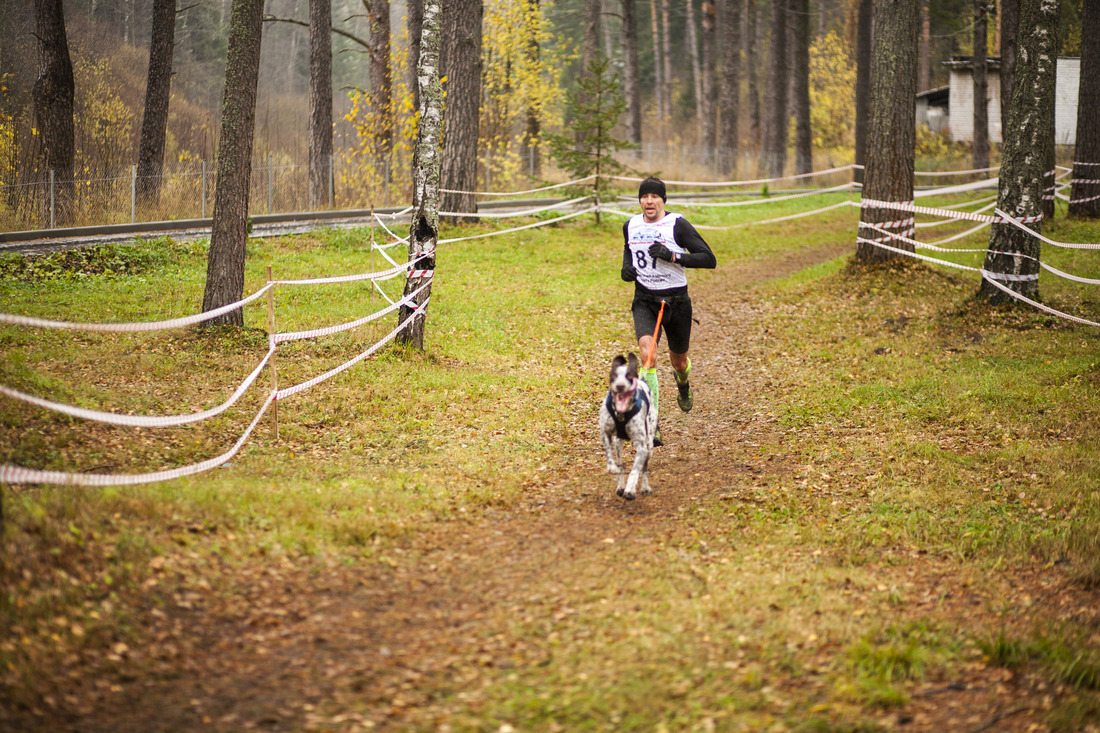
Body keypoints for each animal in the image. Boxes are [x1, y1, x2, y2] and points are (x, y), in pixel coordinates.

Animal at [598, 352, 655, 499]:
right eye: (613, 376)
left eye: (629, 377)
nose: (620, 386)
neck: (621, 414)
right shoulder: (605, 433)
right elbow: (609, 454)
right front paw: (612, 467)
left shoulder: (642, 447)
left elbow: (635, 470)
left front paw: (630, 489)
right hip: (618, 443)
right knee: (621, 464)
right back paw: (620, 486)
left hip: (649, 445)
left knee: (644, 468)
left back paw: (645, 487)